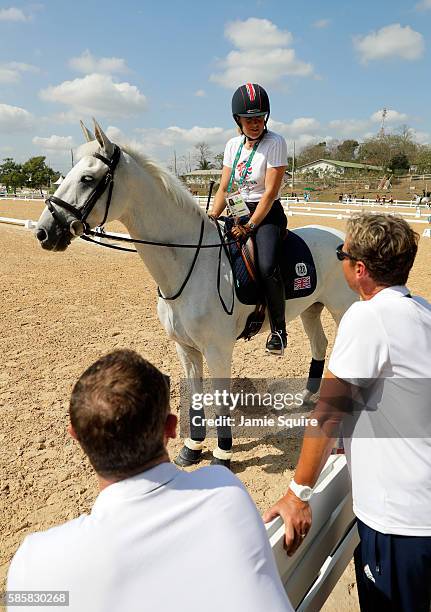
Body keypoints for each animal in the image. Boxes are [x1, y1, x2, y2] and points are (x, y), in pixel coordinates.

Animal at [35, 122, 356, 470]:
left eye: (87, 179)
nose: (44, 232)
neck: (191, 261)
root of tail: (341, 238)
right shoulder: (186, 348)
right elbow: (196, 393)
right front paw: (192, 447)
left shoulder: (217, 350)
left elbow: (220, 398)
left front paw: (223, 453)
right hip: (313, 308)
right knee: (319, 344)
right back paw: (308, 398)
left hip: (344, 309)